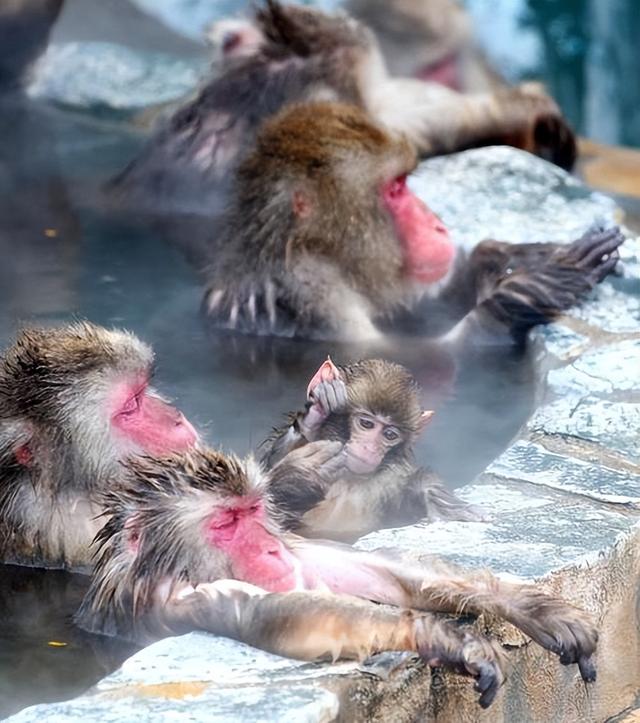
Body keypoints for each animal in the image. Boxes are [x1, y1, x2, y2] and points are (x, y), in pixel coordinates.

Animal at [77, 450, 596, 708]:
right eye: (225, 522)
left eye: (253, 511)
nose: (270, 548)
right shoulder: (172, 600)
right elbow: (277, 615)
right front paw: (446, 640)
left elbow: (366, 569)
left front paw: (533, 609)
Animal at [258, 360, 480, 540]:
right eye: (366, 423)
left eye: (390, 434)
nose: (370, 448)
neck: (346, 481)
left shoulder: (390, 483)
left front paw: (436, 496)